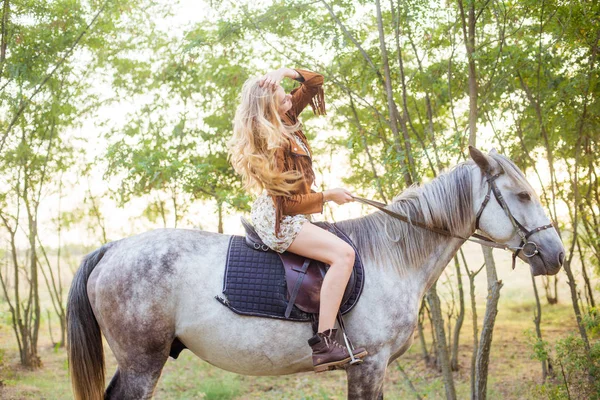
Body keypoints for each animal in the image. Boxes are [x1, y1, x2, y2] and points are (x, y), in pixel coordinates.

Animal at [68, 147, 564, 400]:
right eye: (522, 195)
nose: (556, 255)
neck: (391, 259)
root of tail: (112, 249)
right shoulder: (369, 366)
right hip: (142, 362)